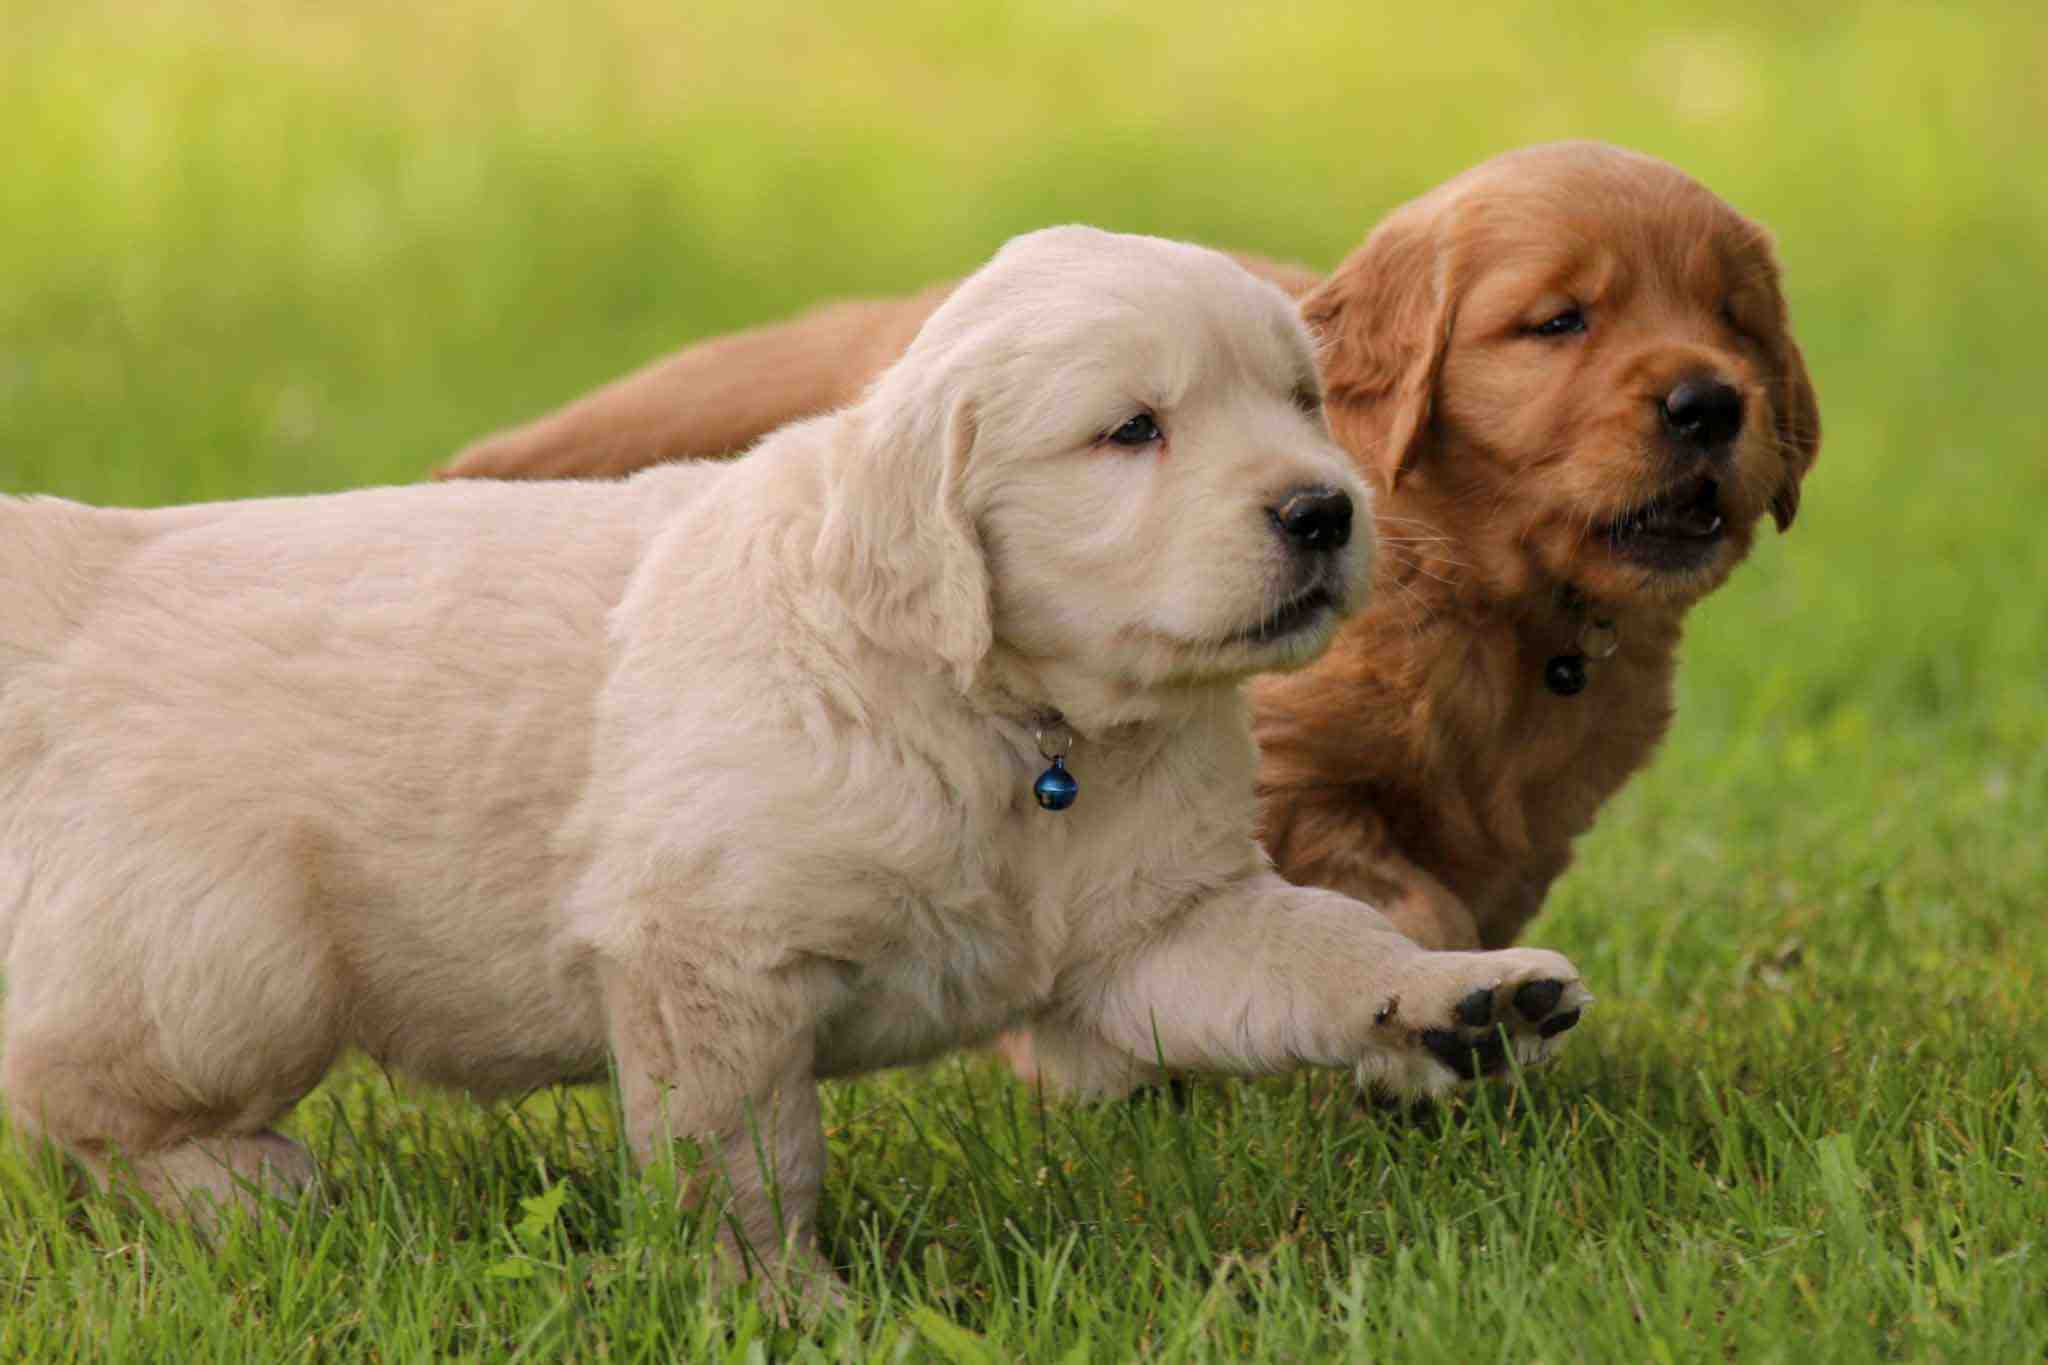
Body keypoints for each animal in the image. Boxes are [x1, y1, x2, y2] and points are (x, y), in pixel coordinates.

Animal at [0, 229, 1581, 1285]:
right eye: (1133, 430)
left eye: (1303, 401)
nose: (1324, 510)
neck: (1018, 722)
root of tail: (95, 567)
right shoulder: (709, 951)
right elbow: (749, 1158)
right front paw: (784, 1305)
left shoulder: (1159, 925)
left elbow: (1323, 947)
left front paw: (1462, 997)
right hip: (229, 961)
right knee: (76, 1083)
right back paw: (245, 1191)